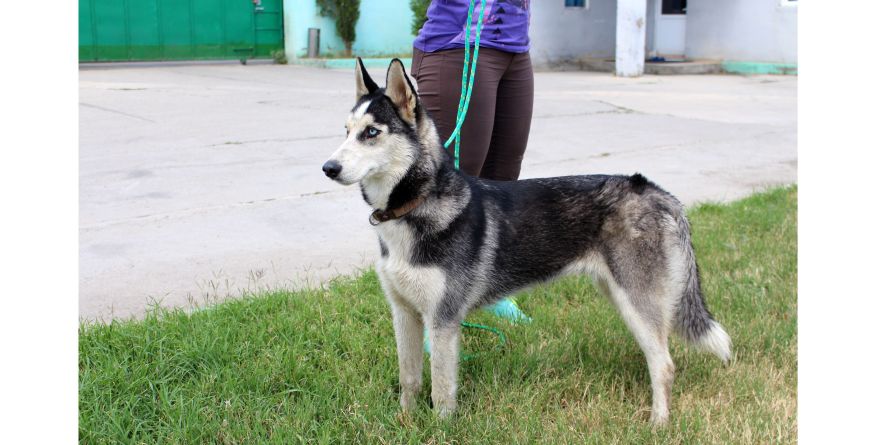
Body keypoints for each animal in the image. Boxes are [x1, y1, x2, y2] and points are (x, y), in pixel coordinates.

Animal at [322, 59, 732, 424]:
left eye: (371, 133)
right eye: (346, 131)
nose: (328, 168)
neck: (413, 206)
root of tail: (660, 193)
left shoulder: (442, 321)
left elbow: (441, 389)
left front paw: (439, 428)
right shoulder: (404, 313)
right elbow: (409, 378)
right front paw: (404, 421)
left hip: (637, 300)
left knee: (664, 365)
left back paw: (658, 423)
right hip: (622, 296)